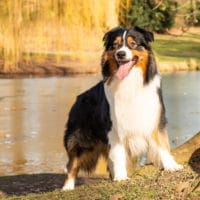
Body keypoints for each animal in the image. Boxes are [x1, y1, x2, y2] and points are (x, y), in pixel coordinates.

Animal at [62, 26, 183, 191]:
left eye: (132, 44)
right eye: (115, 45)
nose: (120, 54)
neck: (130, 82)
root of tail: (78, 99)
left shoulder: (154, 119)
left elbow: (162, 145)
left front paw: (171, 165)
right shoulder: (115, 127)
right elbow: (118, 153)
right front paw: (120, 177)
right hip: (80, 139)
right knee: (72, 163)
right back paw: (67, 187)